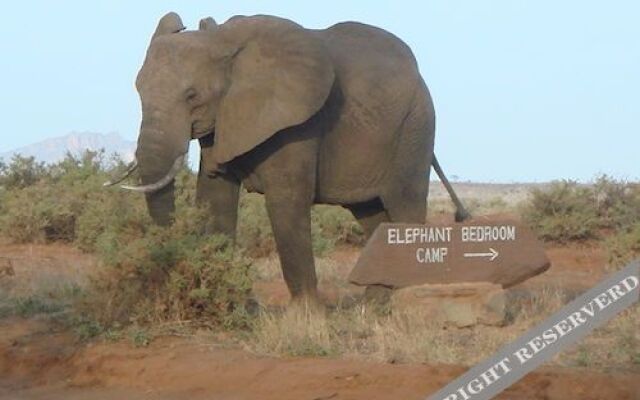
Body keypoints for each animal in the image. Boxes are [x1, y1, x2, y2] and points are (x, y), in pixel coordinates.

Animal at [106, 11, 470, 304]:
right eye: (138, 90)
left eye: (192, 95)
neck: (224, 41)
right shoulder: (224, 119)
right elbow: (215, 195)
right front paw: (229, 304)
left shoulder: (297, 123)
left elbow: (286, 202)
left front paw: (307, 319)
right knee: (372, 216)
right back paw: (374, 306)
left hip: (414, 127)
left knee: (405, 206)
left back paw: (397, 302)